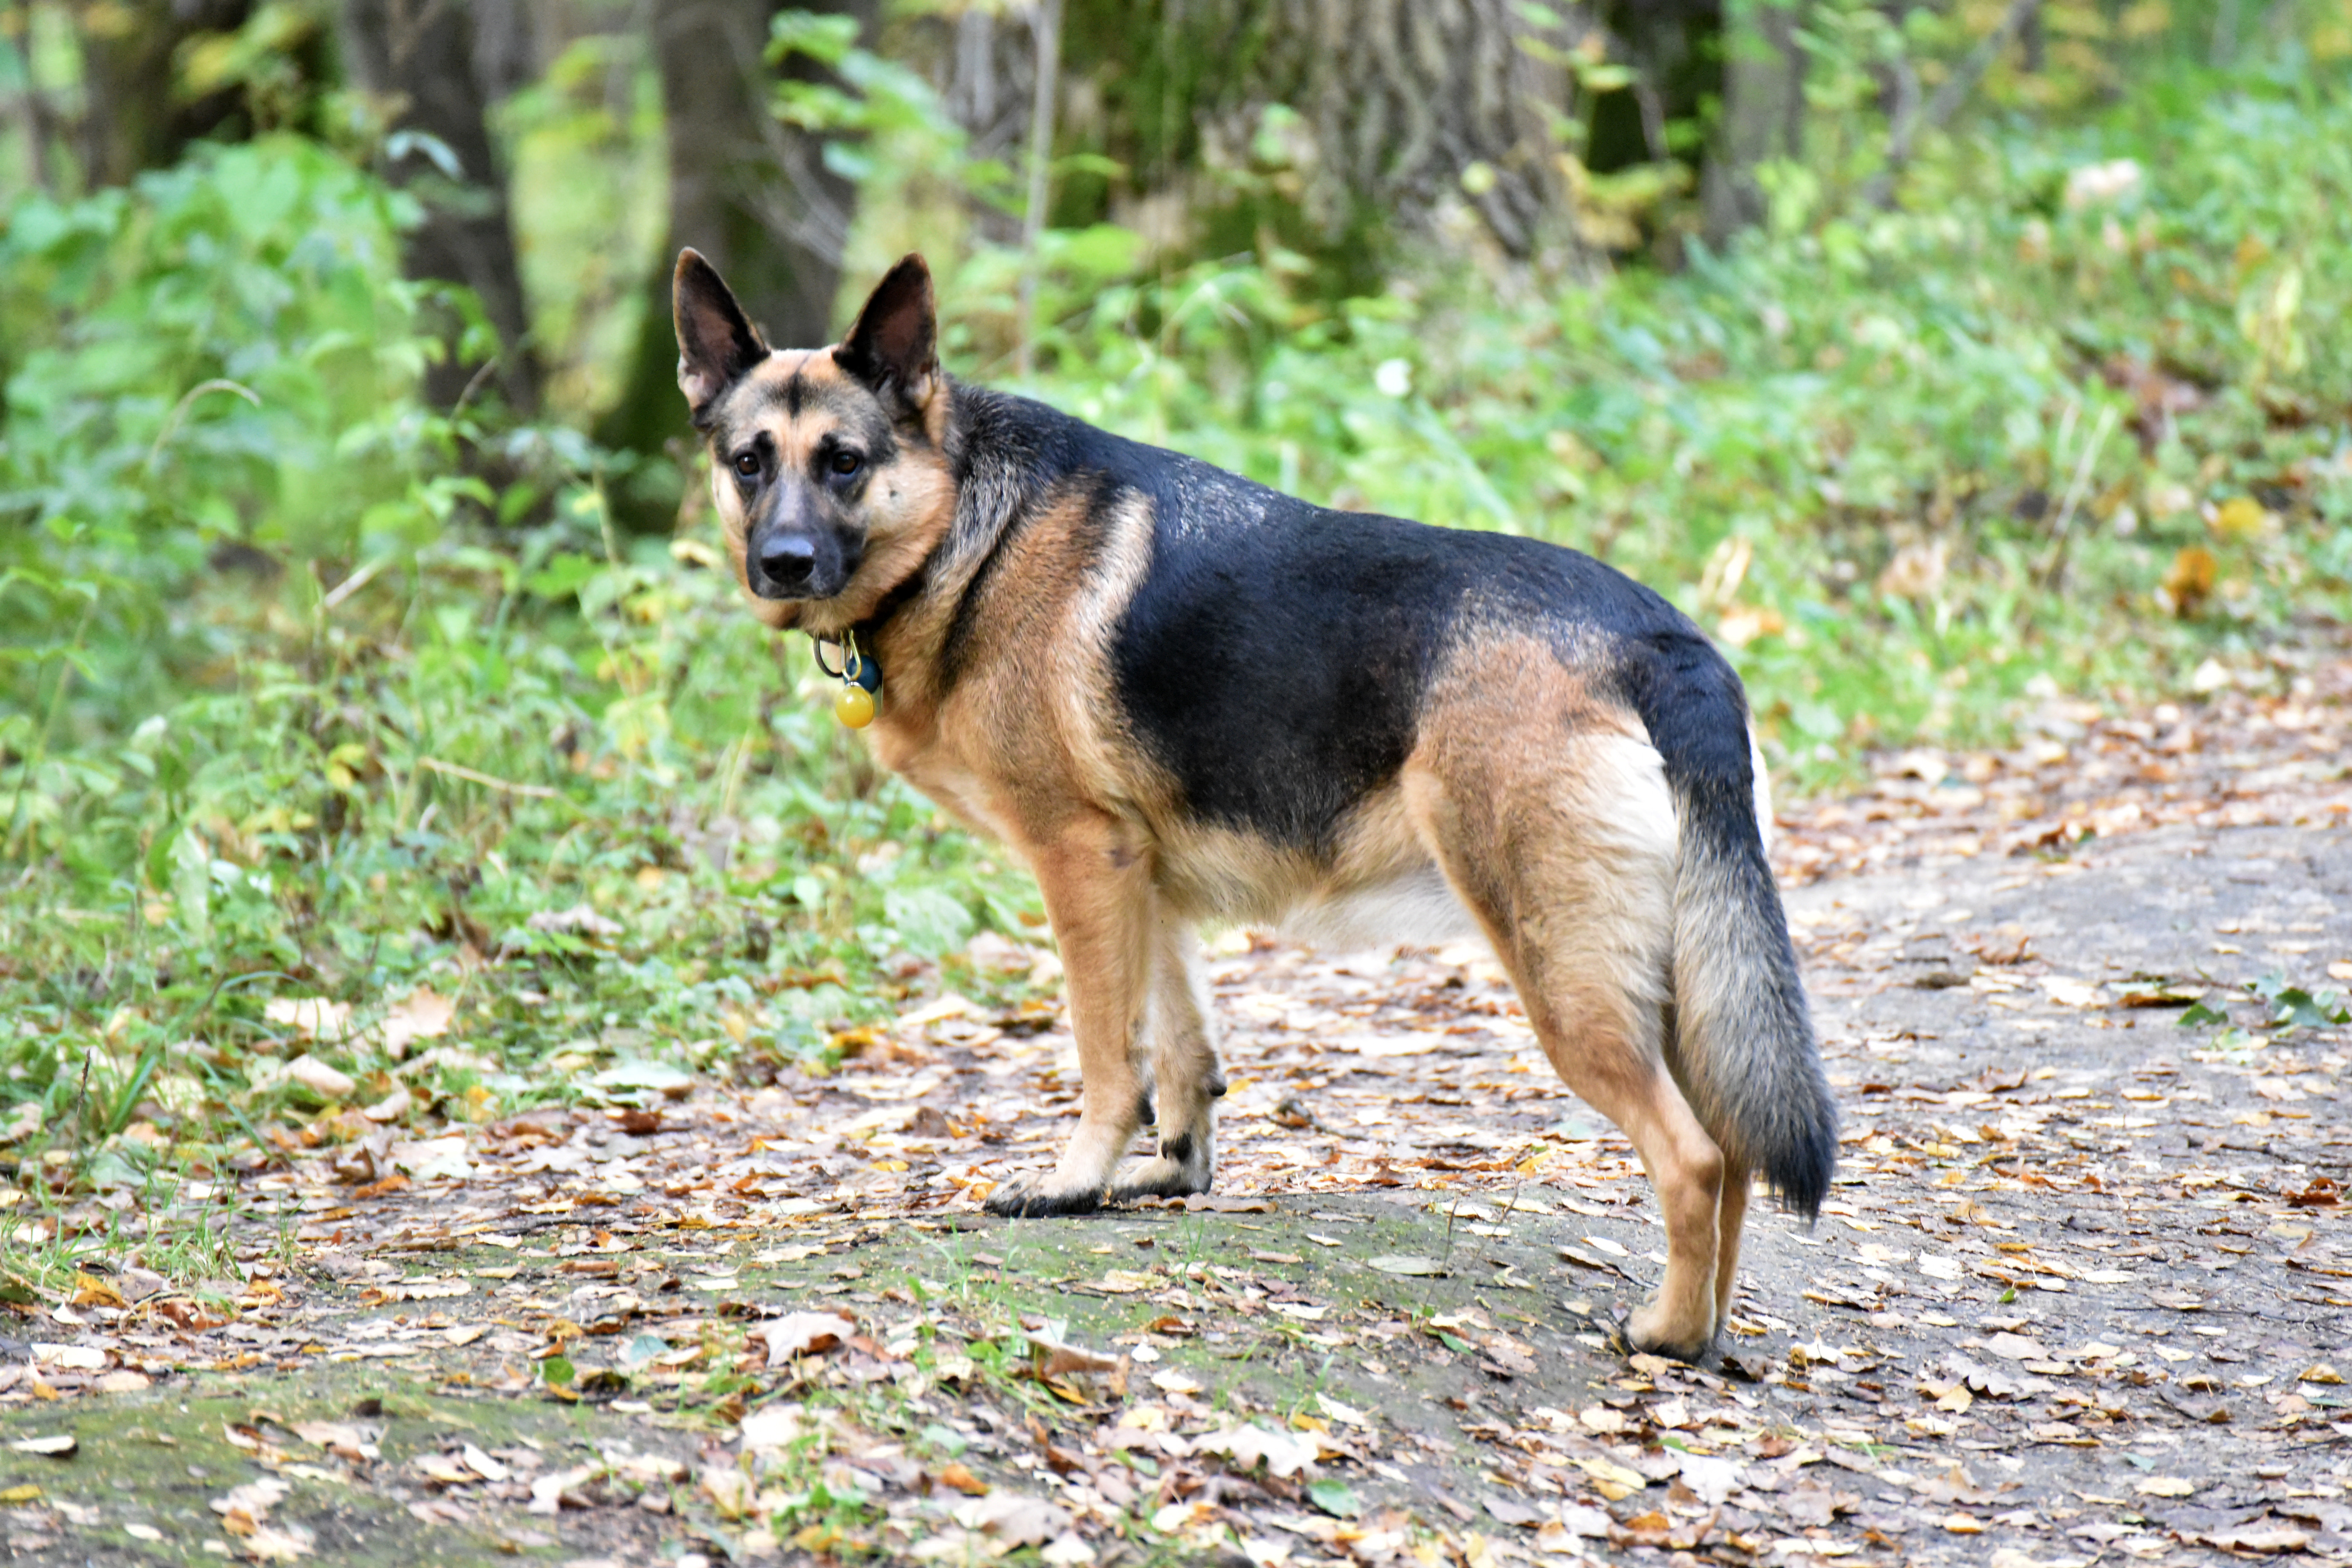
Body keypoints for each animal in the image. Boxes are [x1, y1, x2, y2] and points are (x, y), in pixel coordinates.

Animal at [682, 251, 1834, 1354]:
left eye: (844, 460)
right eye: (750, 462)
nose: (782, 562)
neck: (965, 522)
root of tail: (1660, 638)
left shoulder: (1080, 862)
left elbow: (1109, 1055)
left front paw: (1072, 1179)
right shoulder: (1142, 881)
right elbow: (1182, 1051)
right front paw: (1168, 1171)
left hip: (1568, 978)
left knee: (1693, 1157)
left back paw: (1666, 1336)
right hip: (1676, 983)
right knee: (1735, 1155)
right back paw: (1710, 1329)